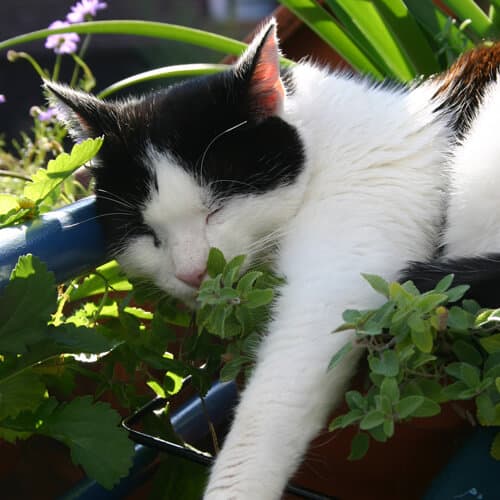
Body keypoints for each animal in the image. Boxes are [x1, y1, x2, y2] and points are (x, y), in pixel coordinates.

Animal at [47, 19, 500, 500]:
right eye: (147, 234)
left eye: (217, 207)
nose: (192, 272)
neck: (322, 145)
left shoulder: (343, 264)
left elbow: (272, 401)